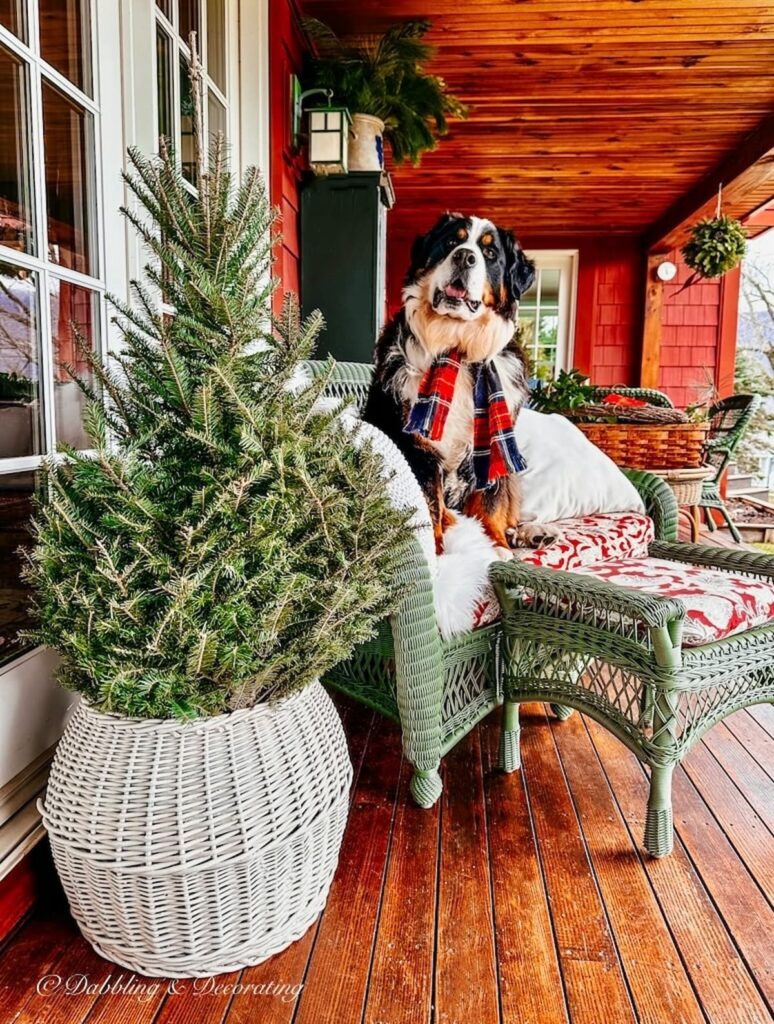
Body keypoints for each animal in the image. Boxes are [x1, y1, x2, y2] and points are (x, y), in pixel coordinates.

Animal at [362, 210, 556, 557]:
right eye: (452, 242)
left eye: (490, 253)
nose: (465, 257)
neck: (459, 351)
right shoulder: (418, 448)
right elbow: (430, 506)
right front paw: (440, 553)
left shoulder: (492, 445)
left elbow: (491, 502)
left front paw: (495, 544)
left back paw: (530, 533)